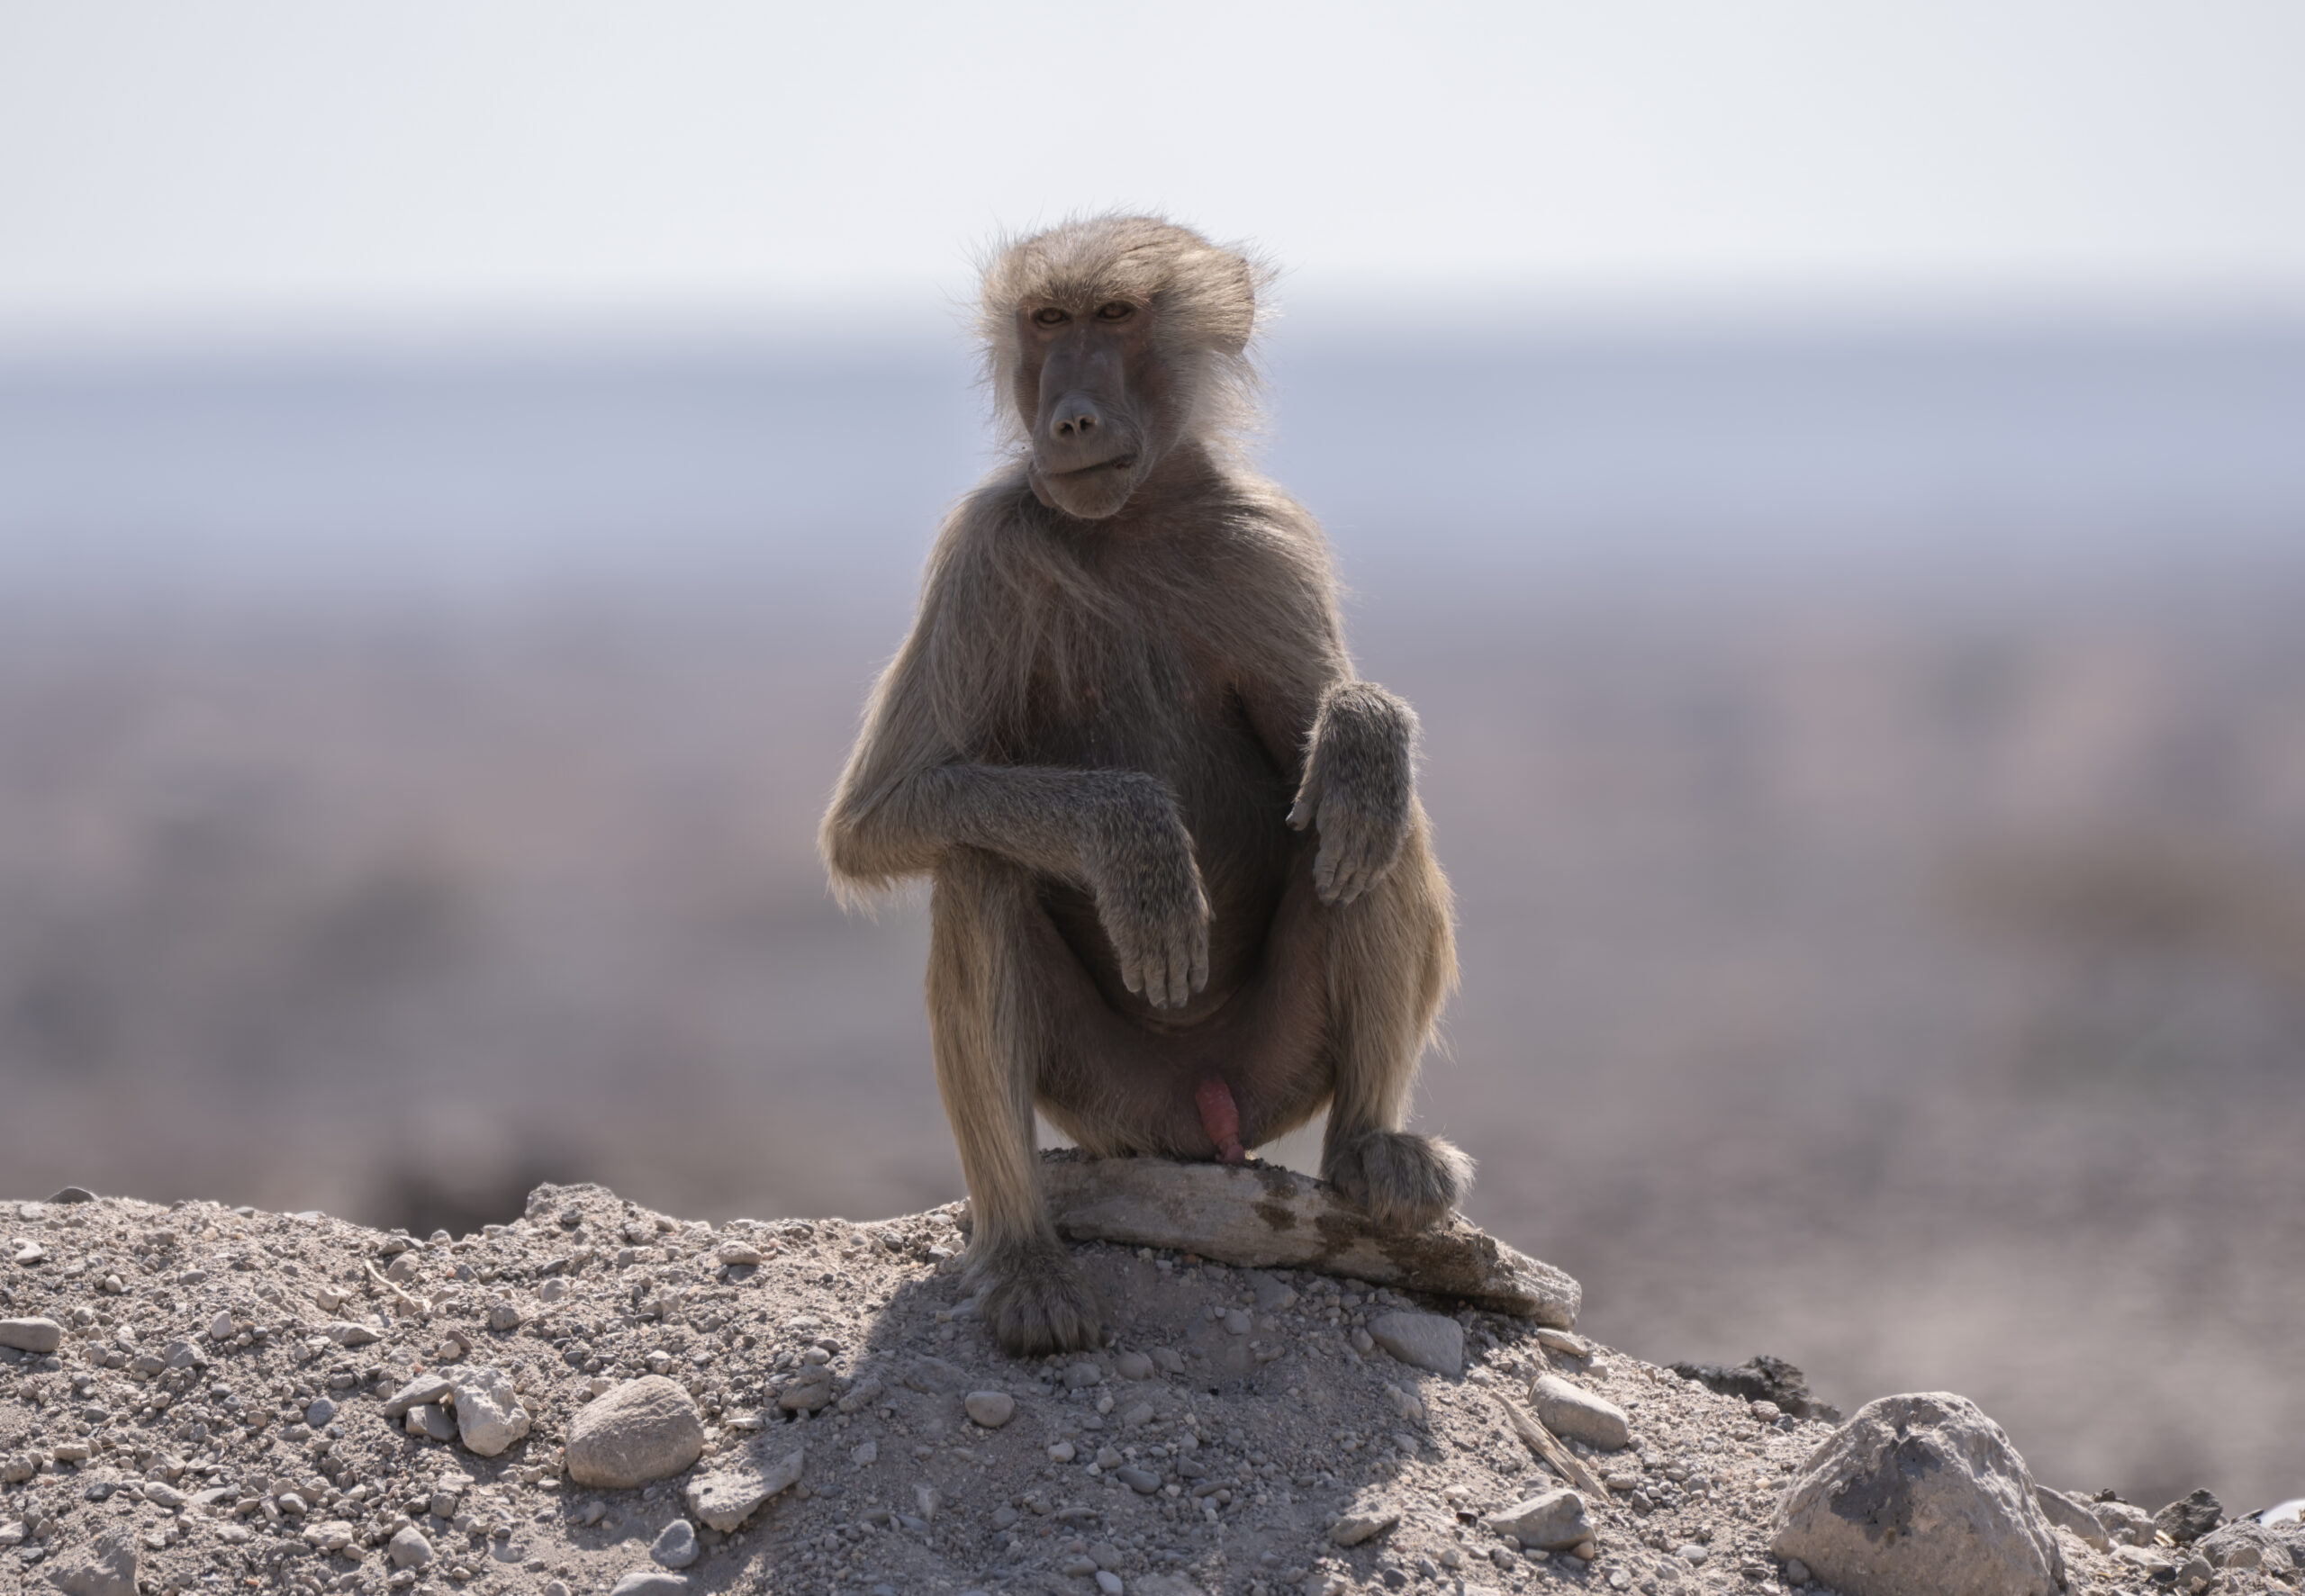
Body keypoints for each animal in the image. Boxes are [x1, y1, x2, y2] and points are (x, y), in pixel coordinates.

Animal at [821, 215, 1466, 1356]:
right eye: (1047, 320)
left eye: (1115, 316)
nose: (1069, 418)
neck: (1132, 516)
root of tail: (1198, 1116)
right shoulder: (983, 548)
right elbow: (876, 818)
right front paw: (1135, 846)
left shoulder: (1266, 544)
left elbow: (1332, 751)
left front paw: (1361, 722)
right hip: (1105, 1100)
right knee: (978, 866)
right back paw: (1025, 1257)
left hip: (1275, 1064)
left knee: (1368, 830)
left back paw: (1371, 1151)